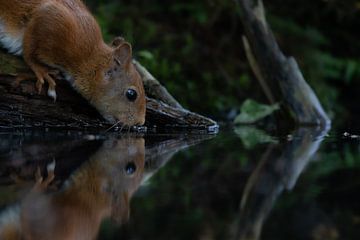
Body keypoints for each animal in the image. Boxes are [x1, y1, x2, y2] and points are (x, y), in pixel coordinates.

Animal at [0, 0, 146, 126]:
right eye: (131, 94)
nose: (140, 122)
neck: (88, 58)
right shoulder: (50, 19)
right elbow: (28, 50)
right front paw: (42, 72)